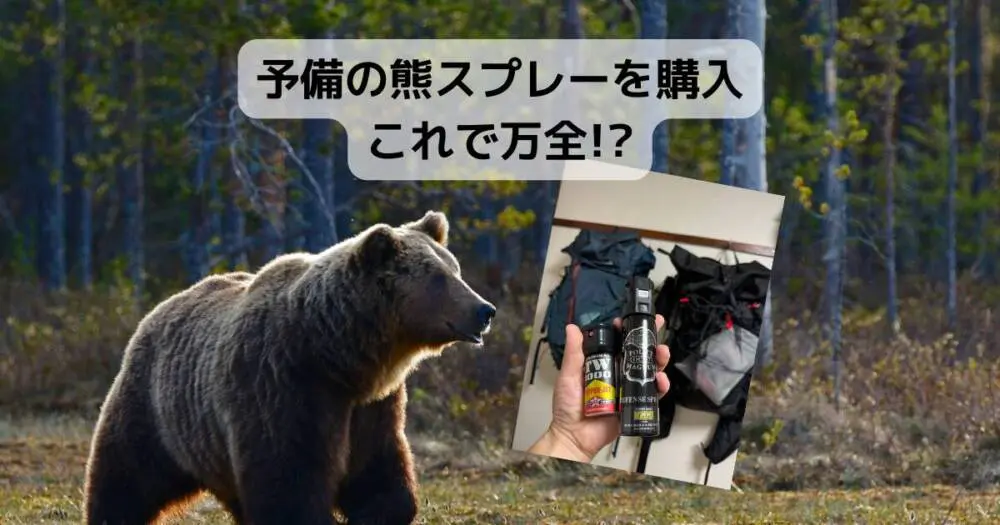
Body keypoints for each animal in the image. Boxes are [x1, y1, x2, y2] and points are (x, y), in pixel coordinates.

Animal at [82, 210, 497, 525]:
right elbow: (289, 481)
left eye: (455, 269)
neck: (339, 355)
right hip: (156, 409)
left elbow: (378, 473)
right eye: (438, 277)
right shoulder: (282, 385)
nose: (485, 310)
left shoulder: (372, 407)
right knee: (125, 478)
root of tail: (161, 307)